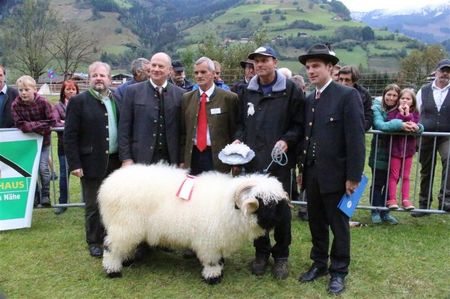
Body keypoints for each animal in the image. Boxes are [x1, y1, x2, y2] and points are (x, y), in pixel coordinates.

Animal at [98, 164, 288, 284]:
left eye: (277, 202)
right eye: (267, 204)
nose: (283, 218)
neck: (227, 205)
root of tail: (108, 184)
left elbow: (220, 259)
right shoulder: (209, 242)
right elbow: (212, 261)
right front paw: (213, 278)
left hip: (128, 228)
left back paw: (127, 260)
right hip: (123, 225)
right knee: (111, 248)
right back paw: (113, 270)